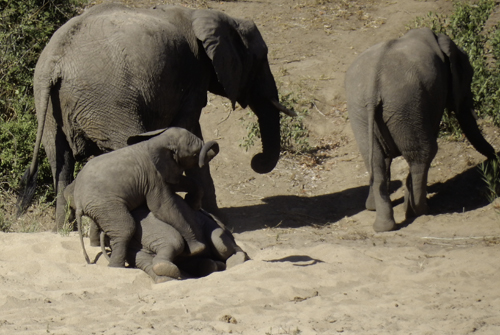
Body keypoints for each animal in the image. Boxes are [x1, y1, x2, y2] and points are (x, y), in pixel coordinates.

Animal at [17, 2, 294, 231]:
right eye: (260, 59)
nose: (256, 161)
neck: (206, 15)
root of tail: (56, 60)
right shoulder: (194, 75)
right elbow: (189, 131)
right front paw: (218, 220)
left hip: (49, 106)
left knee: (60, 163)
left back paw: (63, 233)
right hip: (109, 102)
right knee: (124, 148)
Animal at [67, 127, 218, 270]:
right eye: (194, 154)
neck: (157, 141)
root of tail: (78, 202)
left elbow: (178, 183)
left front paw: (192, 203)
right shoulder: (152, 175)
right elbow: (162, 207)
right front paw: (197, 249)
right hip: (104, 204)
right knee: (126, 227)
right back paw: (116, 267)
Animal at [344, 27, 496, 234]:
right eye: (469, 76)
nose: (494, 158)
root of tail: (372, 89)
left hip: (360, 111)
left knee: (375, 159)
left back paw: (383, 225)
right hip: (406, 105)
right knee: (422, 154)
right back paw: (417, 210)